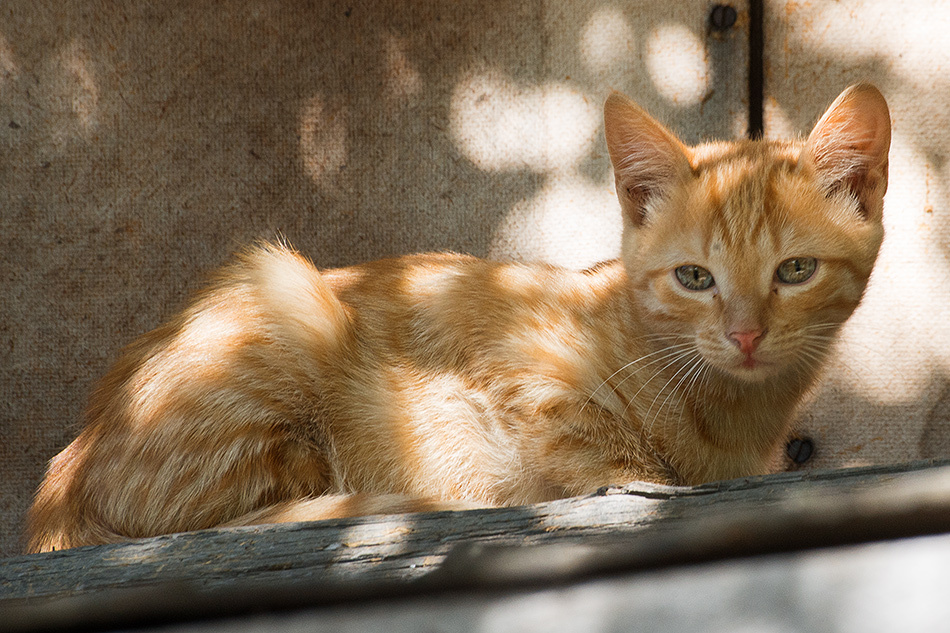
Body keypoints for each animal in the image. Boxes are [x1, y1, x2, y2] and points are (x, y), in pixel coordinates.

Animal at [27, 85, 892, 552]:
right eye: (694, 278)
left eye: (795, 271)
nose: (744, 334)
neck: (729, 412)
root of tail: (62, 481)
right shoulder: (509, 359)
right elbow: (590, 448)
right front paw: (630, 474)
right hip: (282, 293)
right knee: (209, 522)